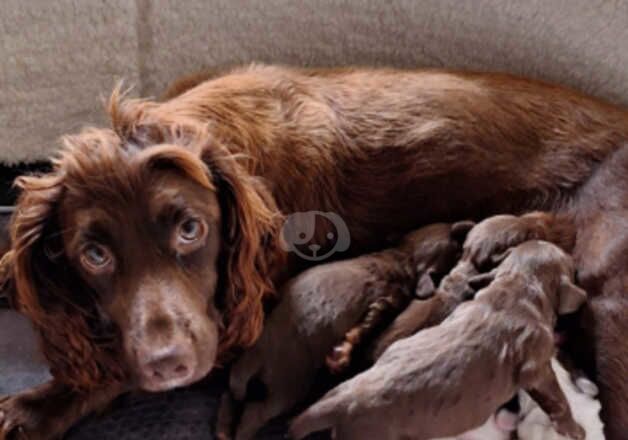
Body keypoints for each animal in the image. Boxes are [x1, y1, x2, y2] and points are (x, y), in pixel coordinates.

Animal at [221, 223, 472, 440]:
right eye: (457, 248)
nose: (463, 225)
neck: (405, 256)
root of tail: (257, 357)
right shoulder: (391, 298)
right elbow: (371, 320)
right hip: (284, 389)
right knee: (255, 413)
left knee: (235, 394)